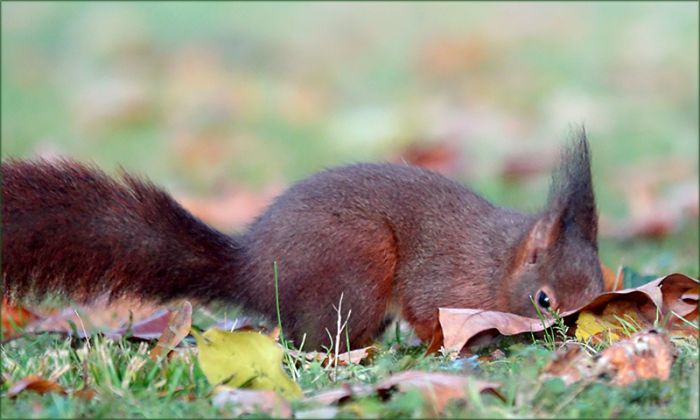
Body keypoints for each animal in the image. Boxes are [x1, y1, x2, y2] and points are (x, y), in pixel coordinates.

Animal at [1, 130, 604, 350]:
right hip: (356, 268)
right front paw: (452, 347)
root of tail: (251, 270)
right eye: (544, 299)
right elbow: (428, 313)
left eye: (602, 286)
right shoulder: (442, 277)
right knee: (317, 339)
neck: (497, 261)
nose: (578, 336)